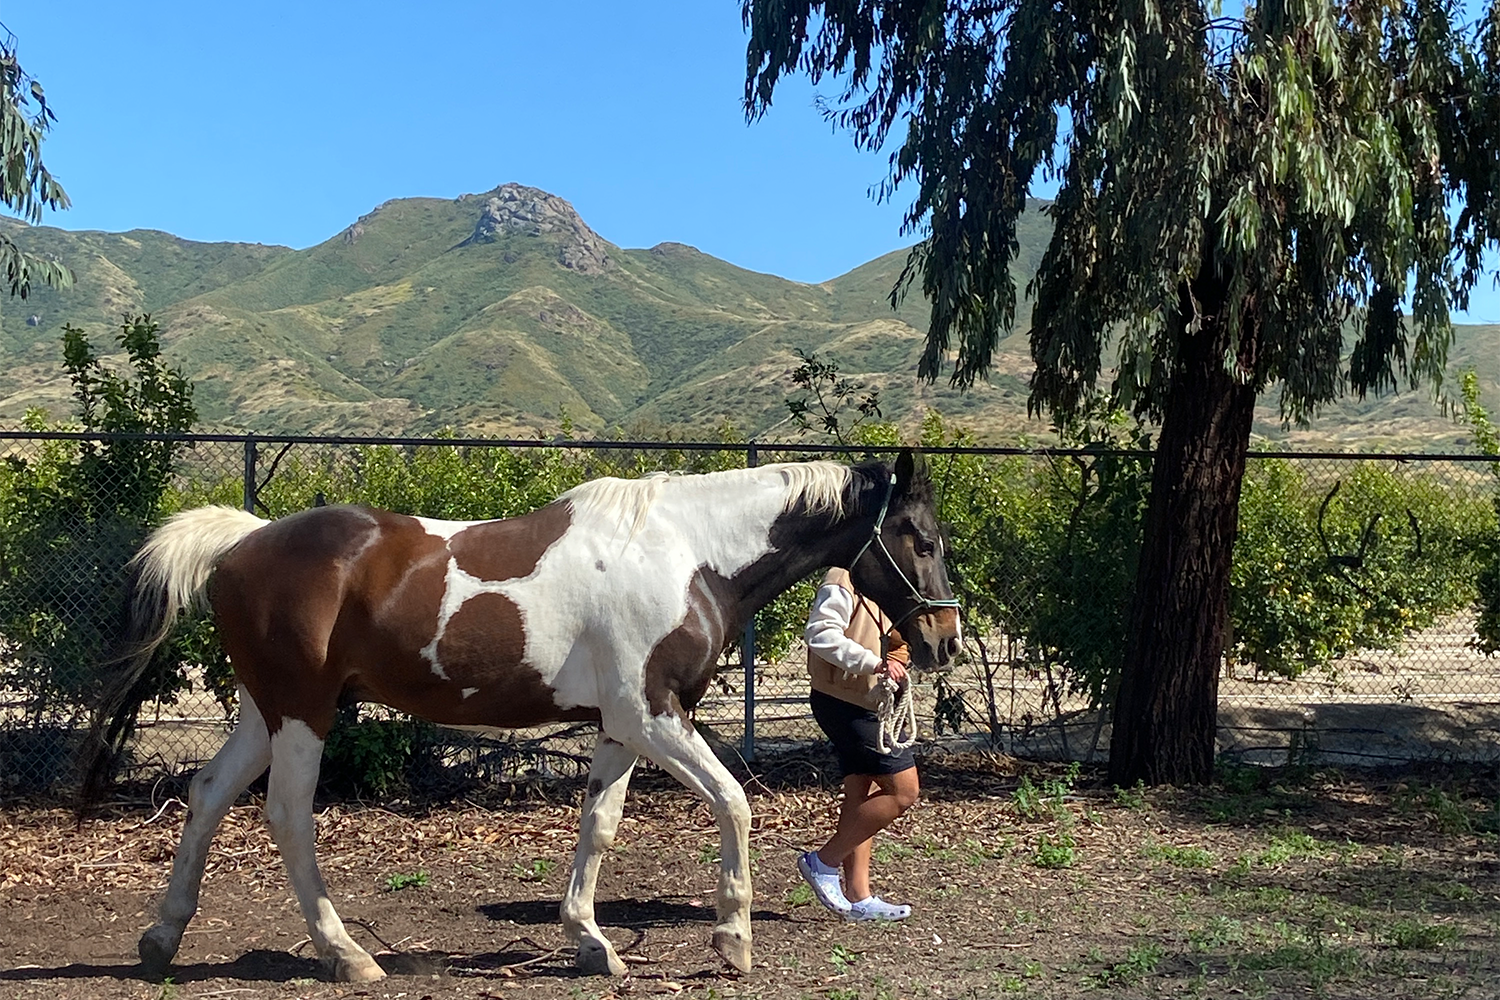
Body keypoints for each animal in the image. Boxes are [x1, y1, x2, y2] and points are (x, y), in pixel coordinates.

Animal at [81, 448, 961, 982]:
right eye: (918, 537)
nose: (942, 638)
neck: (687, 554)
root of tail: (243, 544)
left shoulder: (619, 726)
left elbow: (598, 825)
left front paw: (591, 941)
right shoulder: (654, 717)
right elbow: (734, 802)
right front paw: (732, 940)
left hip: (269, 712)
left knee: (207, 793)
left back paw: (162, 939)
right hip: (303, 714)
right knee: (288, 815)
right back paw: (346, 955)